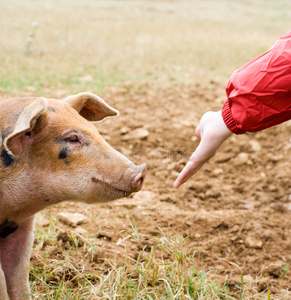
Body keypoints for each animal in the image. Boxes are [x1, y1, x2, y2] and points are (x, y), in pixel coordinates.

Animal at [0, 92, 146, 298]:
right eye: (72, 138)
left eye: (95, 130)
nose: (141, 171)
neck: (13, 210)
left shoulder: (22, 227)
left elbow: (19, 276)